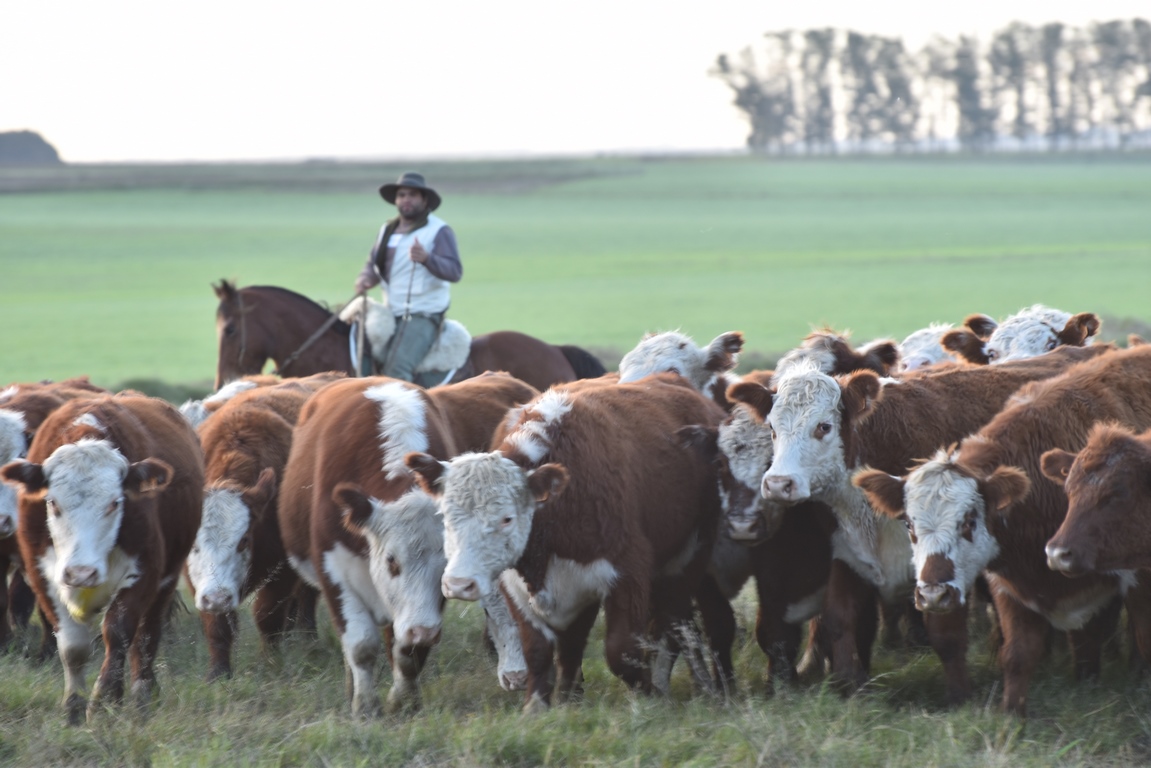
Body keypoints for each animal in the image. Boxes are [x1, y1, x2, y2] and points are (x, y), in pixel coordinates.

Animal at [0, 393, 202, 723]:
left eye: (115, 503)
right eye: (52, 502)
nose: (81, 573)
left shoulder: (145, 571)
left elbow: (119, 632)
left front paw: (104, 700)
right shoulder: (43, 575)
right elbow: (72, 645)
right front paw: (73, 706)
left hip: (167, 579)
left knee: (147, 634)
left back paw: (143, 692)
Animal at [409, 375, 722, 713]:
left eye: (506, 519)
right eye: (444, 515)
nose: (458, 584)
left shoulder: (627, 573)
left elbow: (621, 651)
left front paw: (647, 696)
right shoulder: (522, 585)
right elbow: (540, 650)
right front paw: (540, 706)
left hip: (689, 556)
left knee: (674, 623)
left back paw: (677, 682)